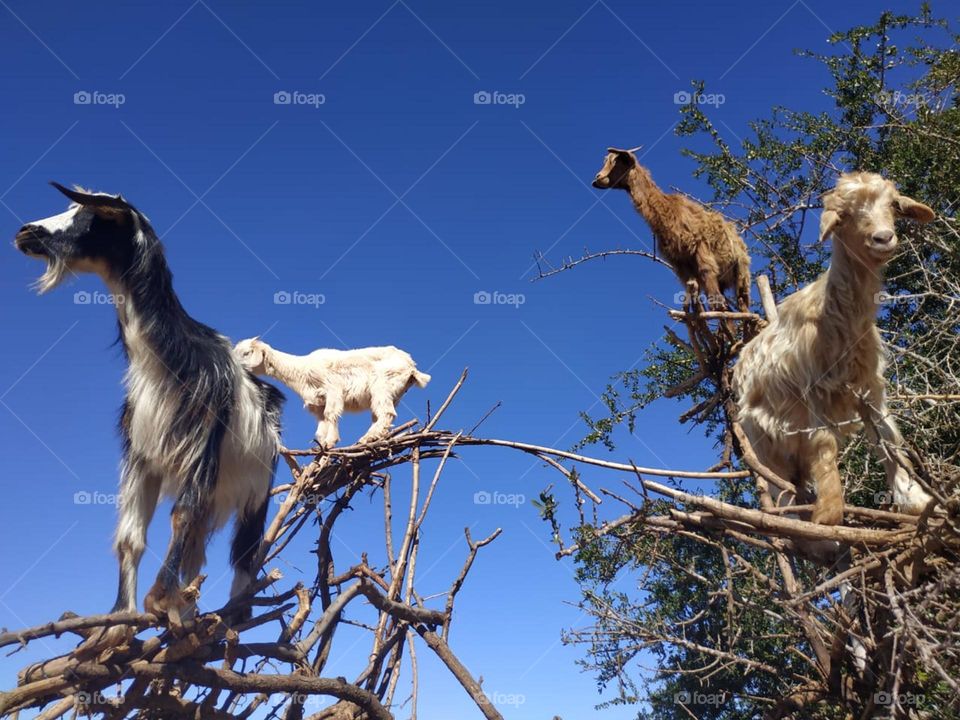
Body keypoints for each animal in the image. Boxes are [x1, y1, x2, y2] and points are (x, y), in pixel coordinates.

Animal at [15, 183, 284, 616]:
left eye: (95, 216)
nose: (26, 232)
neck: (167, 358)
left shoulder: (203, 440)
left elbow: (181, 514)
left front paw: (158, 595)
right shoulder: (140, 453)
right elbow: (130, 538)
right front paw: (121, 617)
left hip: (256, 491)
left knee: (243, 552)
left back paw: (234, 613)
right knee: (196, 554)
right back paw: (188, 610)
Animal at [234, 338, 430, 450]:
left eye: (247, 353)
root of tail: (411, 366)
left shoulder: (333, 389)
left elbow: (331, 414)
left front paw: (330, 442)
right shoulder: (317, 403)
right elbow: (322, 426)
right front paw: (320, 447)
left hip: (381, 385)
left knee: (386, 413)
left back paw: (367, 438)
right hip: (393, 394)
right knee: (381, 416)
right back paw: (375, 436)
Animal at [588, 146, 752, 312]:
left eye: (617, 161)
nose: (598, 178)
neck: (667, 211)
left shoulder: (701, 250)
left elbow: (713, 296)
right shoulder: (680, 264)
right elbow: (696, 300)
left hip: (741, 272)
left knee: (740, 304)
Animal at [732, 172, 932, 524]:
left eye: (894, 205)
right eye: (844, 215)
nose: (883, 238)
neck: (834, 316)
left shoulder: (868, 386)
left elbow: (888, 437)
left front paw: (914, 500)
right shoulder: (812, 386)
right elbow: (825, 444)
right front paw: (828, 515)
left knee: (795, 482)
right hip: (762, 443)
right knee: (780, 490)